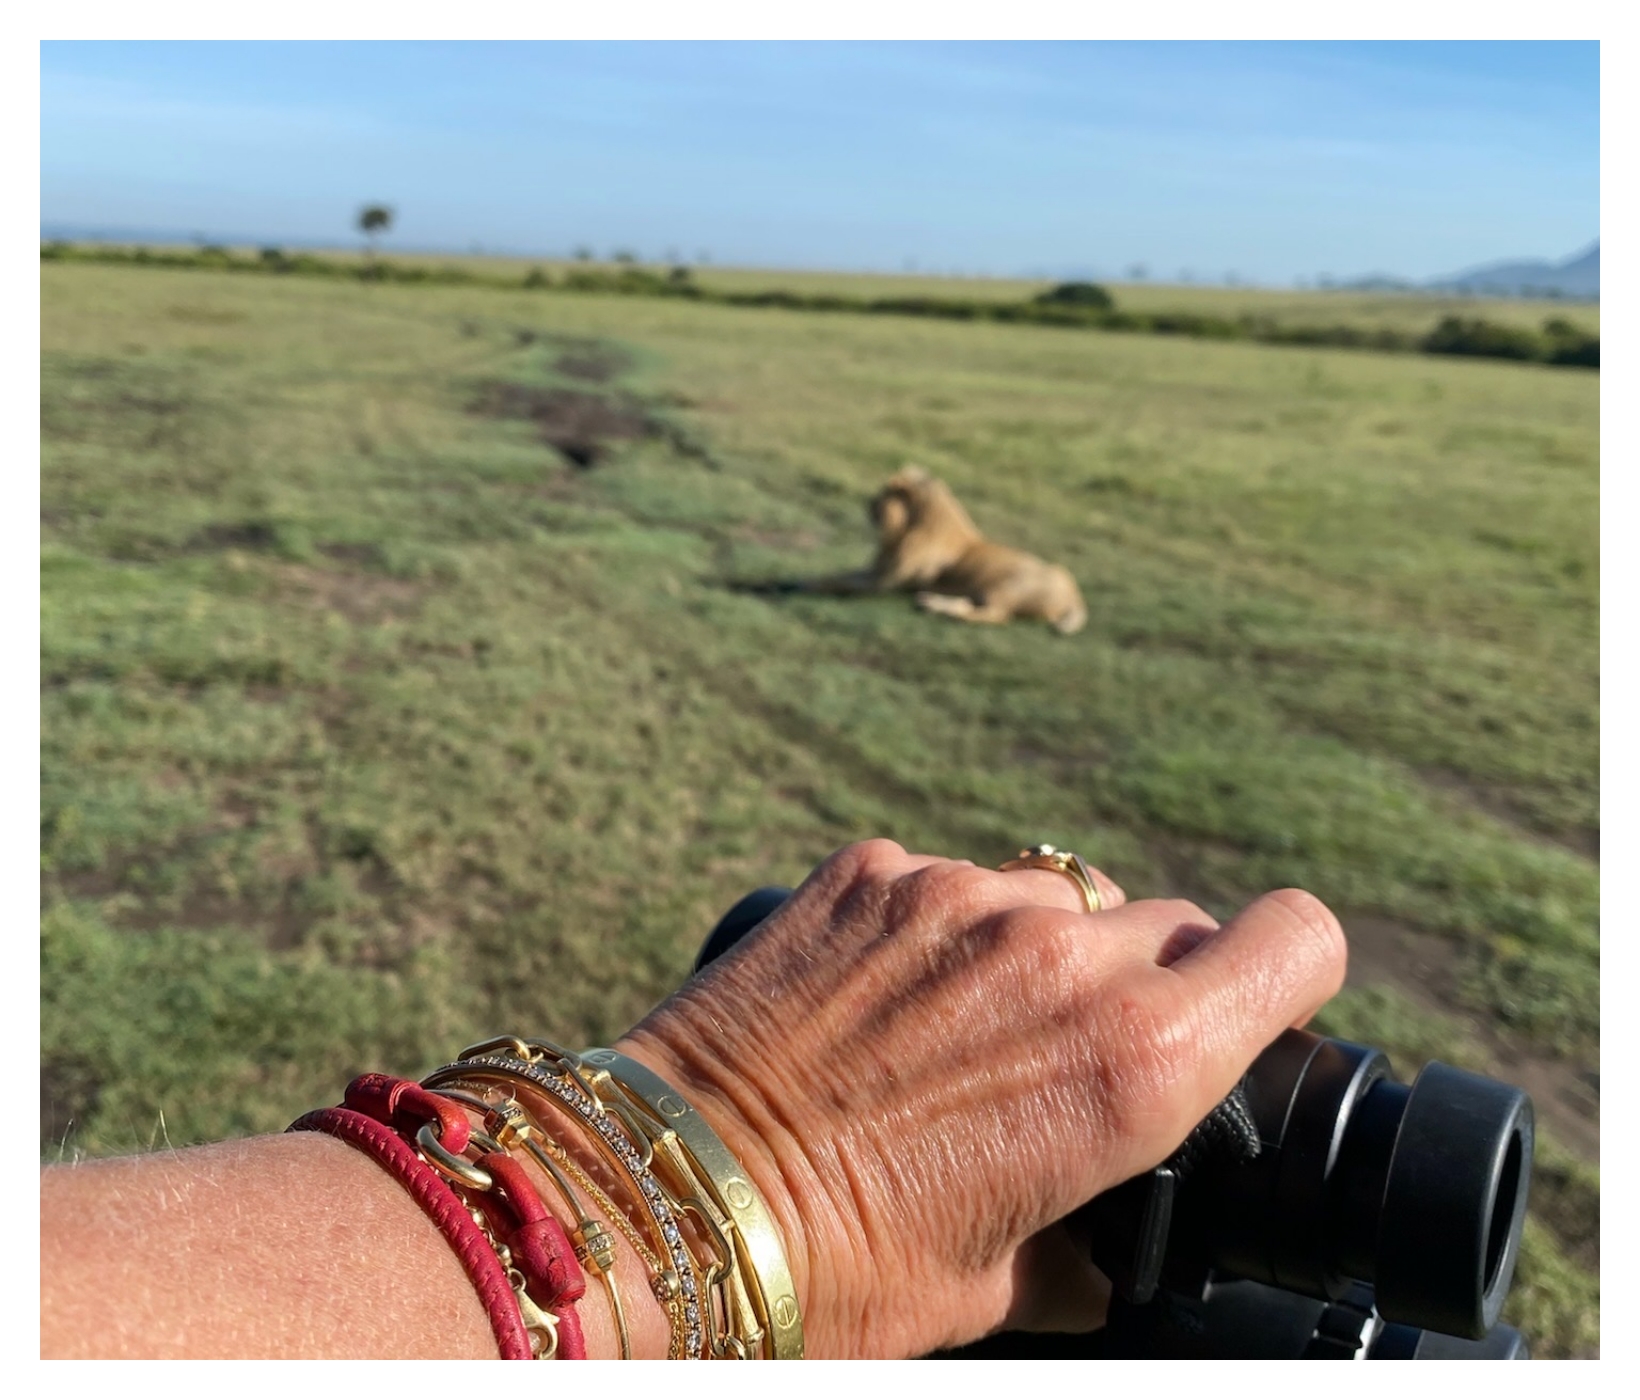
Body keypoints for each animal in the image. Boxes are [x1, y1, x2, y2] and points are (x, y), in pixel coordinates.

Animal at [810, 465, 1088, 636]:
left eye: (883, 494)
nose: (867, 505)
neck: (910, 528)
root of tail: (1076, 596)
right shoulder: (879, 569)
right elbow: (841, 575)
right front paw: (809, 580)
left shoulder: (887, 581)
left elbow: (844, 583)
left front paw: (807, 585)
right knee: (971, 605)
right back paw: (929, 602)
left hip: (1005, 587)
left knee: (996, 616)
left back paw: (941, 610)